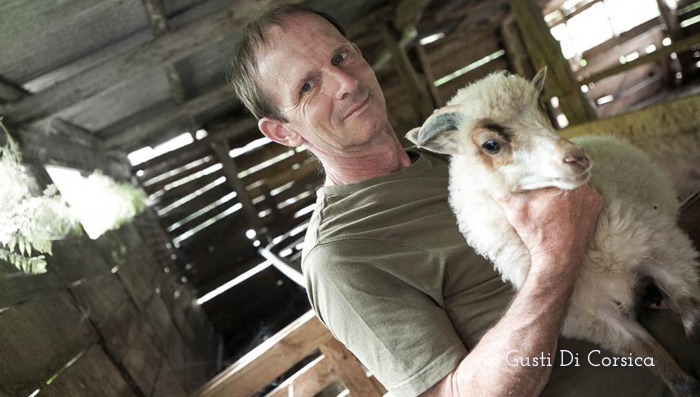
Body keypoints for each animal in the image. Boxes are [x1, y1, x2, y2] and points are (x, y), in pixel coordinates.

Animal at [404, 69, 700, 394]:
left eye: (542, 110)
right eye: (491, 145)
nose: (577, 158)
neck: (591, 257)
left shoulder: (663, 250)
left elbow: (694, 322)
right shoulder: (599, 318)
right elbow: (664, 368)